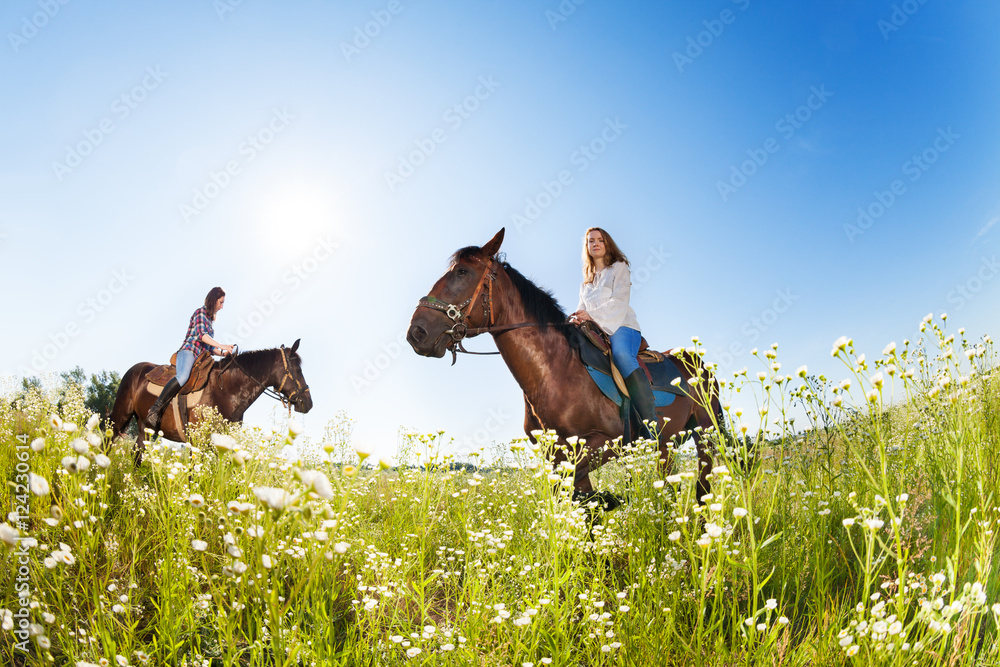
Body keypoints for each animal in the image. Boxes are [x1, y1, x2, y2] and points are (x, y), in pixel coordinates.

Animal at [109, 340, 312, 464]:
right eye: (297, 370)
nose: (308, 403)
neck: (225, 391)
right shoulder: (197, 443)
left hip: (145, 430)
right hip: (120, 417)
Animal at [408, 231, 728, 506]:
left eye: (462, 272)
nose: (417, 333)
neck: (553, 372)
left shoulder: (603, 441)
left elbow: (580, 493)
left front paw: (613, 500)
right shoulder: (556, 453)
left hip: (705, 435)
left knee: (703, 488)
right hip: (668, 444)